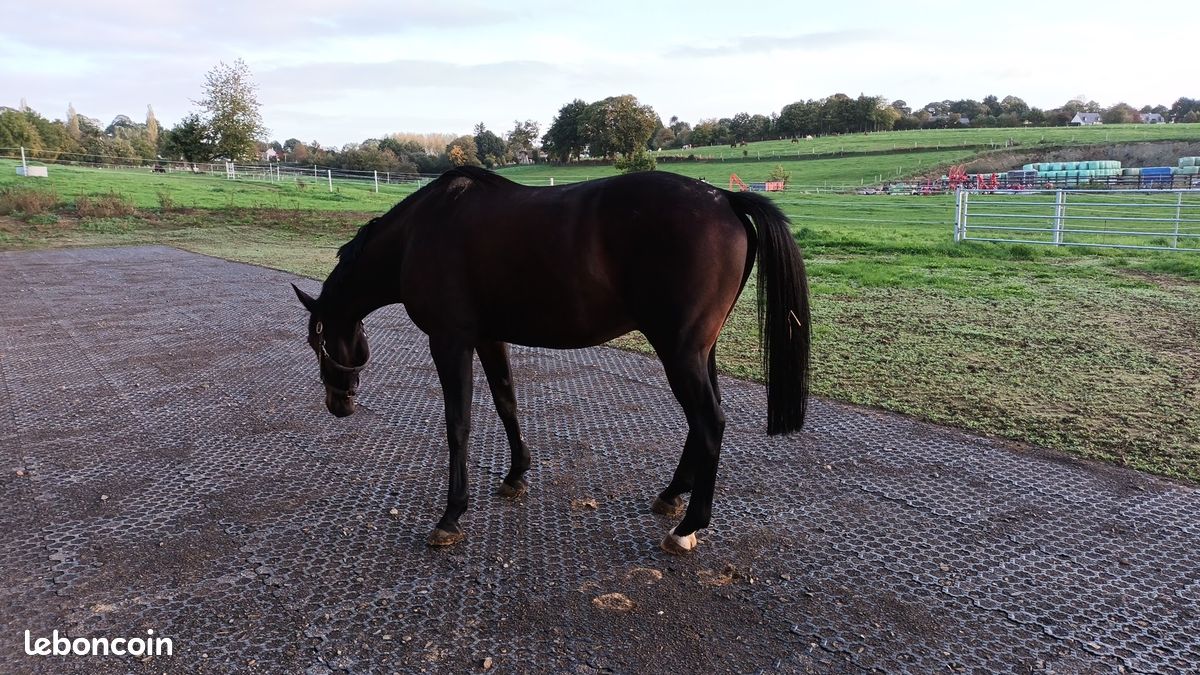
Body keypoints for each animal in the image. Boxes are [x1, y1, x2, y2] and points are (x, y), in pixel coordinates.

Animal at [291, 167, 810, 554]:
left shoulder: (449, 342)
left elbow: (458, 425)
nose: (338, 404)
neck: (420, 231)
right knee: (703, 422)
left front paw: (451, 515)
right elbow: (507, 403)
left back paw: (687, 527)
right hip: (700, 350)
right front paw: (516, 474)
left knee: (709, 422)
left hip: (679, 350)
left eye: (317, 343)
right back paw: (671, 495)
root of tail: (725, 199)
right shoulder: (489, 338)